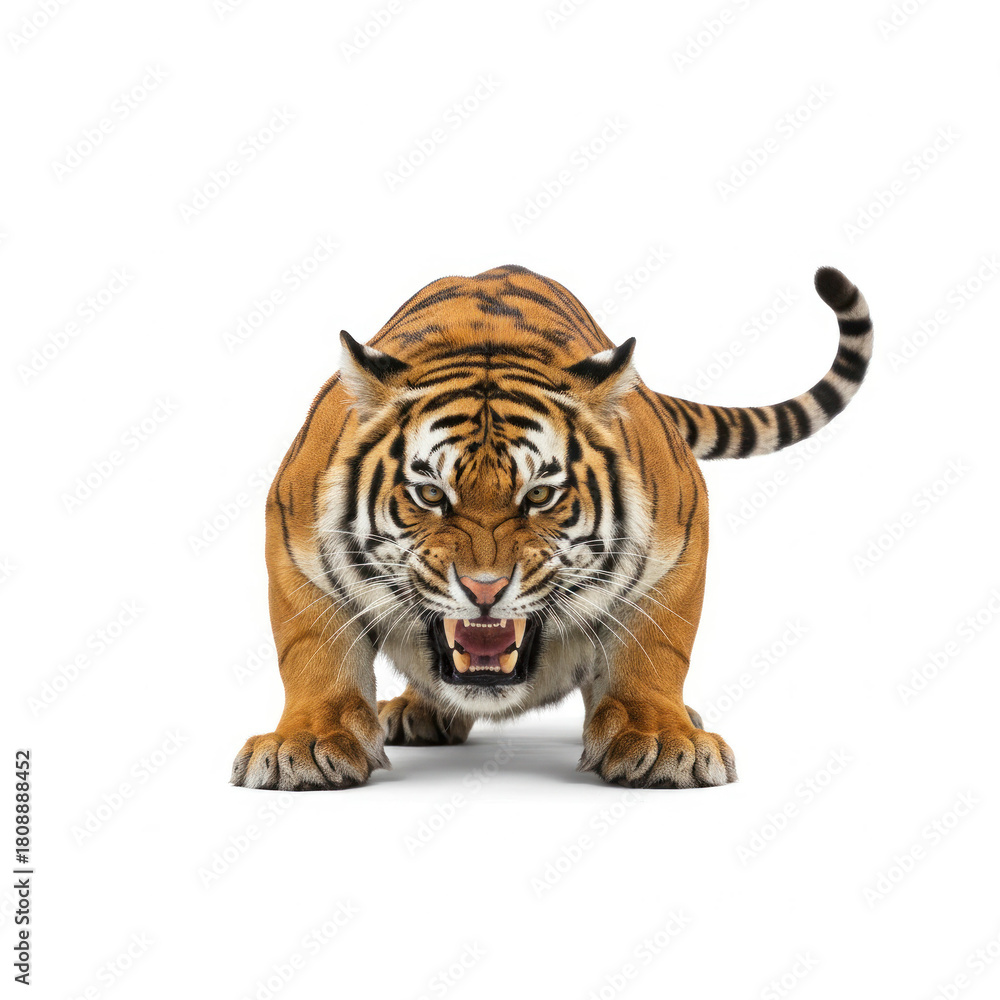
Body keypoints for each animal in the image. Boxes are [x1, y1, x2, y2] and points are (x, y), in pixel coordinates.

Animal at [230, 263, 872, 791]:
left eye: (539, 494)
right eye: (431, 494)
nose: (485, 588)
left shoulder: (681, 541)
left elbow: (657, 648)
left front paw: (664, 739)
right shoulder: (294, 546)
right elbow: (312, 650)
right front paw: (307, 743)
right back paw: (417, 711)